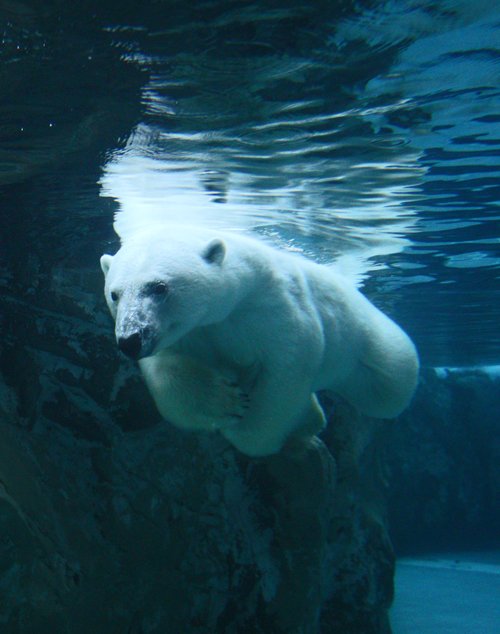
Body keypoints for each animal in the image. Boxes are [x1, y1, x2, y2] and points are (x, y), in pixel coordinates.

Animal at [100, 225, 418, 452]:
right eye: (115, 294)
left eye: (159, 287)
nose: (130, 340)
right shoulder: (187, 335)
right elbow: (167, 376)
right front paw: (225, 402)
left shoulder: (272, 308)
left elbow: (287, 368)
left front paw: (248, 428)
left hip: (361, 339)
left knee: (390, 379)